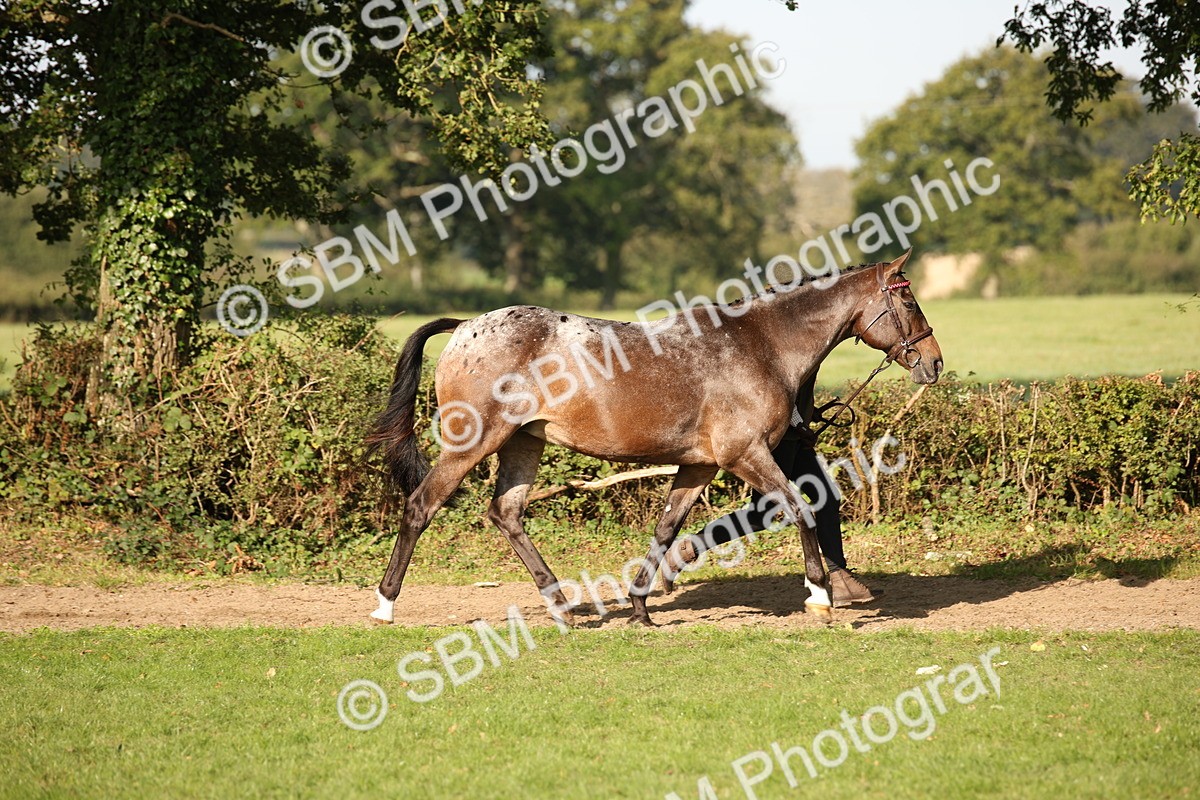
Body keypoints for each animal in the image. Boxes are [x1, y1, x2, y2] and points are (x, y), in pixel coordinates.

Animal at [364, 250, 942, 627]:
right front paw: (819, 597)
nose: (934, 363)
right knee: (421, 506)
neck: (761, 345)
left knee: (506, 513)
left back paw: (564, 607)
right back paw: (385, 606)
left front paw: (641, 608)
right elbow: (800, 508)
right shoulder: (746, 454)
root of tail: (465, 327)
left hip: (524, 442)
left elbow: (666, 529)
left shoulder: (700, 465)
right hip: (474, 443)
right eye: (911, 302)